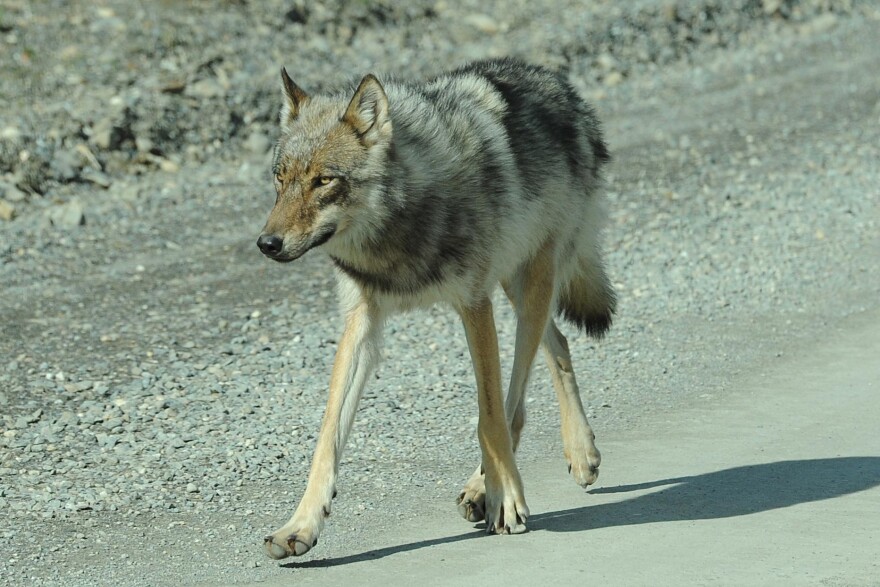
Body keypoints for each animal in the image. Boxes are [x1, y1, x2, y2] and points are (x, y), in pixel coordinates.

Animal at [254, 58, 612, 560]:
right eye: (280, 178)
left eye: (324, 180)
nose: (267, 244)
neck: (396, 234)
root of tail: (558, 82)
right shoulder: (361, 320)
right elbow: (327, 435)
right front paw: (300, 525)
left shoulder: (474, 305)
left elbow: (488, 419)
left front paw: (506, 501)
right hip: (516, 285)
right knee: (556, 344)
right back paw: (571, 456)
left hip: (529, 284)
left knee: (517, 396)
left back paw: (515, 478)